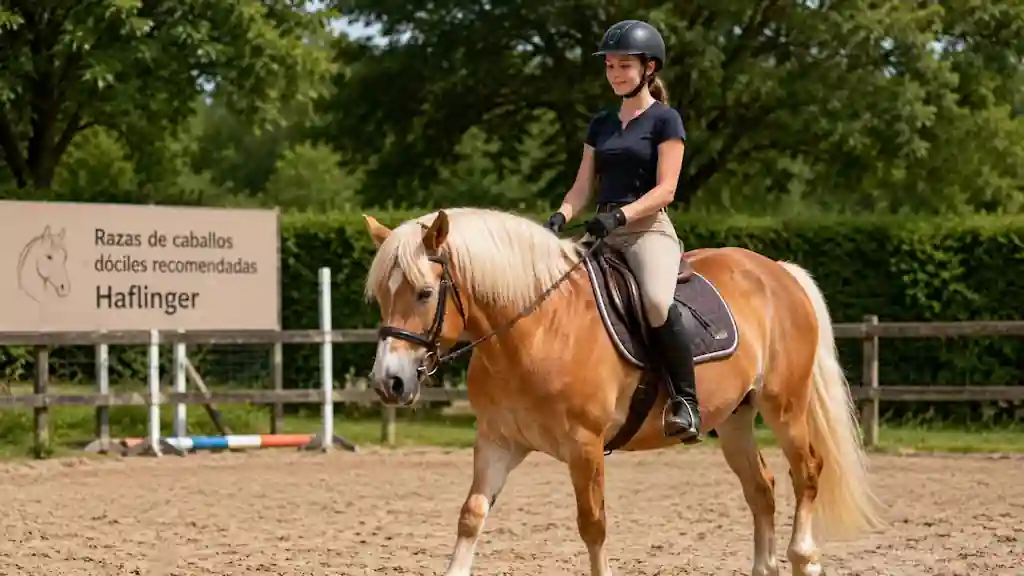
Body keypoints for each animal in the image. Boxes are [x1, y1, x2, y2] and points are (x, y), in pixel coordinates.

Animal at [361, 206, 884, 576]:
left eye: (425, 294)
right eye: (382, 296)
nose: (389, 382)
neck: (537, 328)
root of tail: (776, 271)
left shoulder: (584, 446)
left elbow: (593, 525)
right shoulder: (497, 441)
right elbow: (471, 515)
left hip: (785, 406)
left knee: (807, 472)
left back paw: (803, 557)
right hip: (735, 418)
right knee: (762, 488)